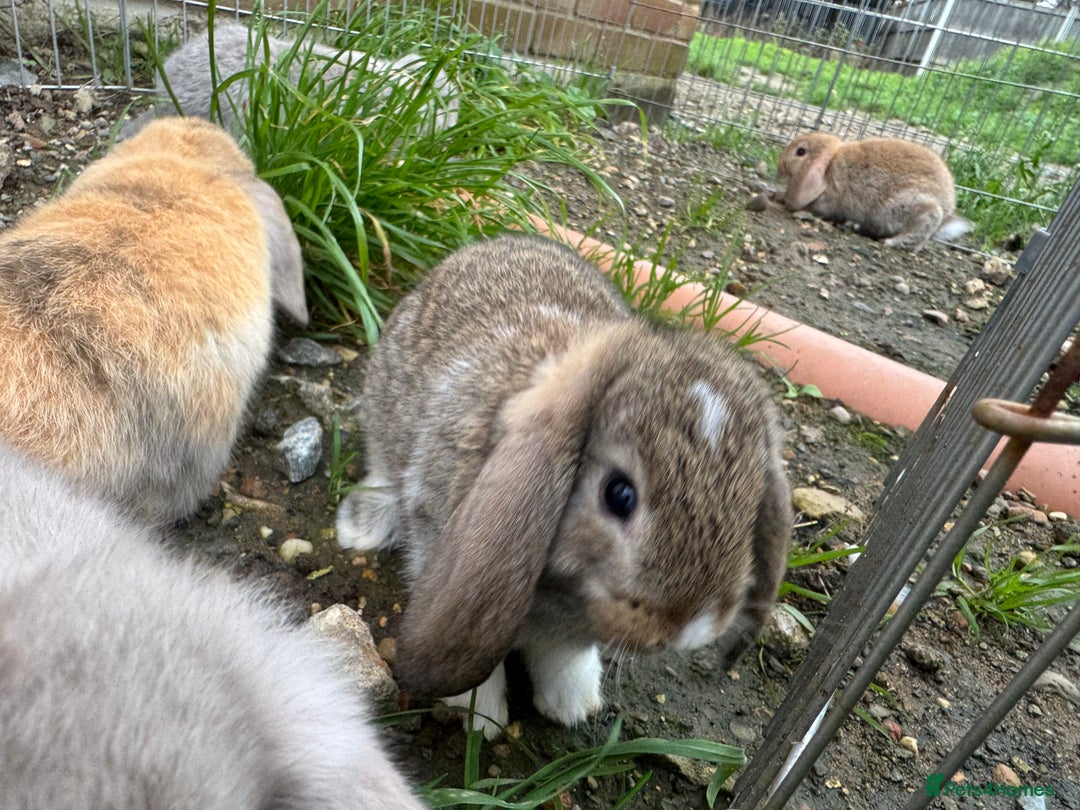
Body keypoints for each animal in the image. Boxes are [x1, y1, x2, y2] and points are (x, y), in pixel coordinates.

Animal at [335, 234, 792, 738]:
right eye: (619, 495)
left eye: (749, 511)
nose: (691, 628)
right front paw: (482, 720)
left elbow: (562, 656)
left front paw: (571, 706)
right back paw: (362, 527)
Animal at [777, 132, 973, 251]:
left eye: (800, 152)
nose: (779, 166)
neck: (829, 164)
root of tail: (947, 211)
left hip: (902, 205)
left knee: (926, 222)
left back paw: (892, 242)